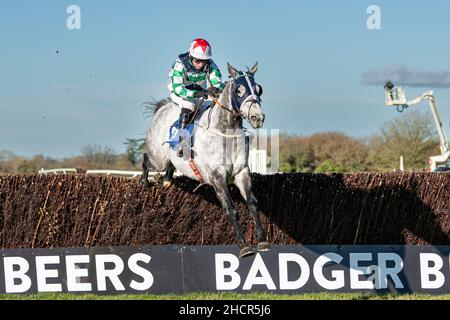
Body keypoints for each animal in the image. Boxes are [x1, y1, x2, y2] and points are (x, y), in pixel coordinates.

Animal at [142, 62, 268, 258]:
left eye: (258, 89)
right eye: (239, 90)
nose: (257, 118)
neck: (225, 133)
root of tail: (162, 108)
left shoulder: (242, 173)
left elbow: (252, 204)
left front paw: (262, 241)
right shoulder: (217, 177)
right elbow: (231, 209)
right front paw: (244, 246)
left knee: (169, 167)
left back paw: (167, 181)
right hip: (158, 158)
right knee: (146, 158)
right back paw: (143, 180)